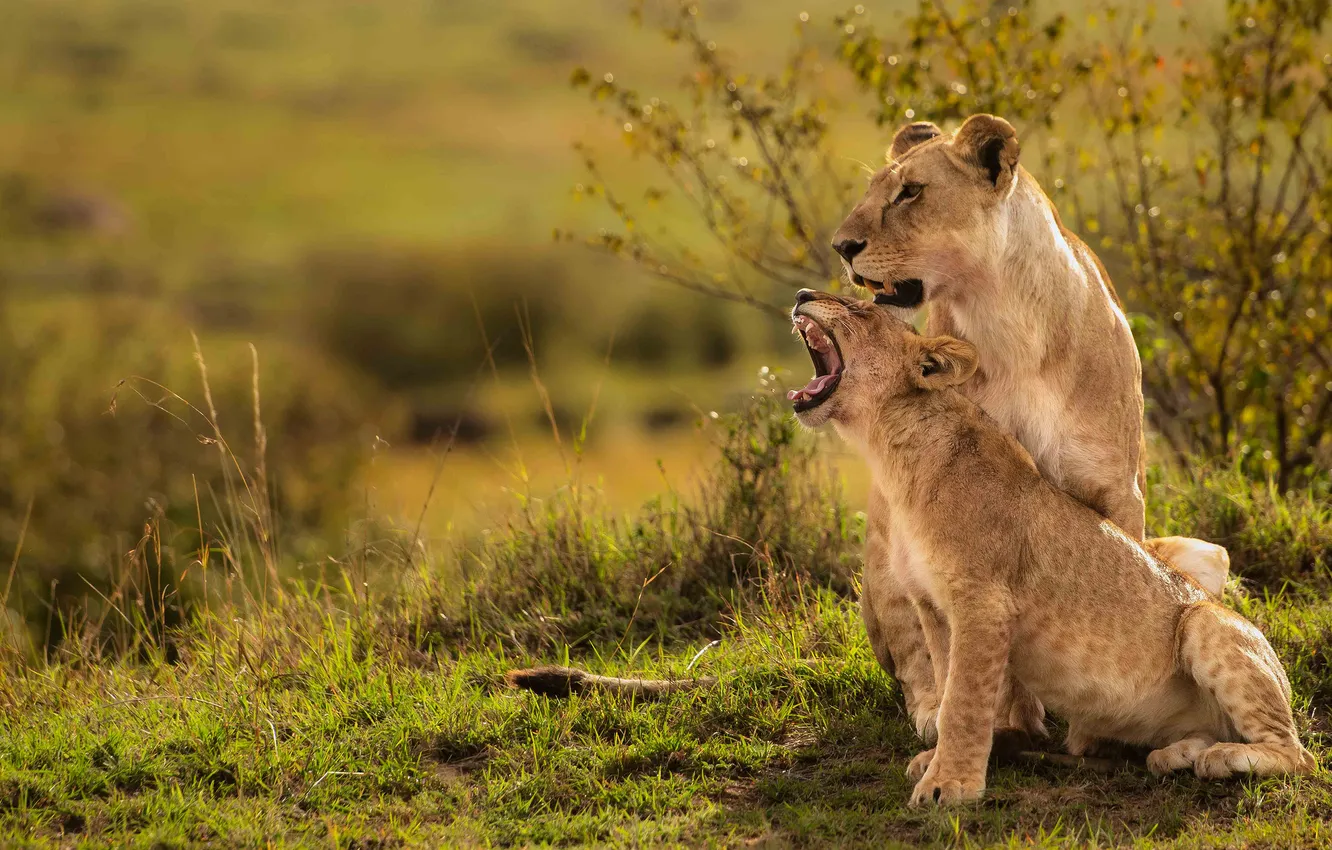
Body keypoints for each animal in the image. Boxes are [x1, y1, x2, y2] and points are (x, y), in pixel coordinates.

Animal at [787, 288, 1314, 806]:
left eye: (860, 310)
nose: (802, 293)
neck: (890, 451)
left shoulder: (983, 601)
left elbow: (963, 698)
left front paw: (950, 785)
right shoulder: (930, 605)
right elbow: (946, 684)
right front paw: (938, 761)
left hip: (1207, 621)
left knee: (1298, 755)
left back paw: (1222, 759)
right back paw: (1178, 755)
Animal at [830, 114, 1229, 738]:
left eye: (910, 192)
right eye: (872, 191)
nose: (841, 247)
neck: (1006, 318)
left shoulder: (1117, 490)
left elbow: (1125, 592)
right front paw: (1007, 720)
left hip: (1209, 555)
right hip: (885, 556)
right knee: (912, 651)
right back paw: (934, 712)